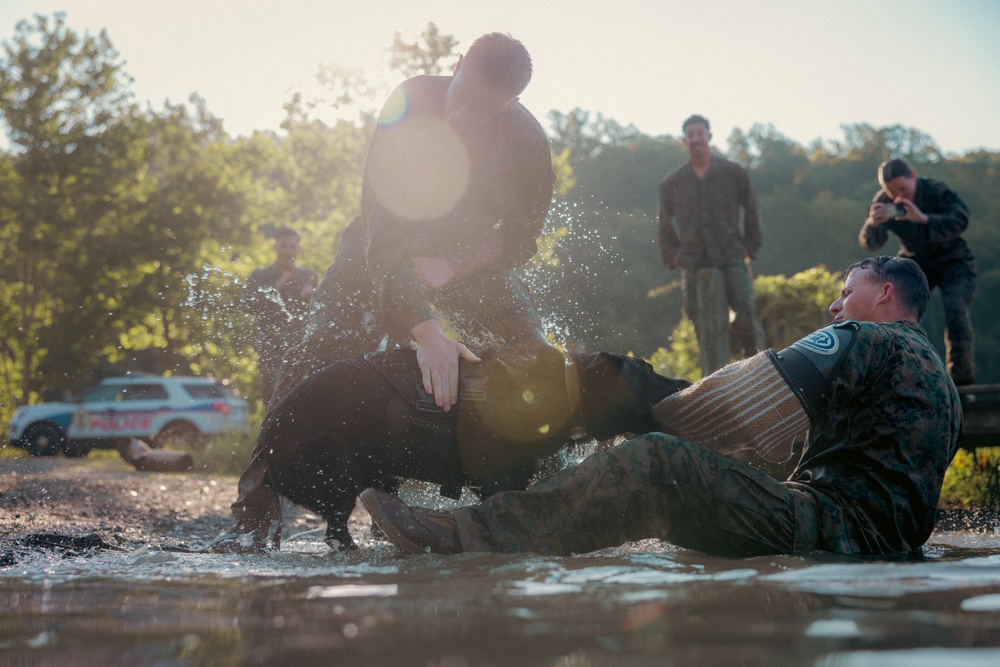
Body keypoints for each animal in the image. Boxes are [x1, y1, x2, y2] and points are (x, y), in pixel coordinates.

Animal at [258, 348, 688, 552]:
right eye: (649, 371)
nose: (685, 382)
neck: (563, 392)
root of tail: (266, 434)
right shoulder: (499, 482)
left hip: (377, 478)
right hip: (334, 483)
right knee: (337, 533)